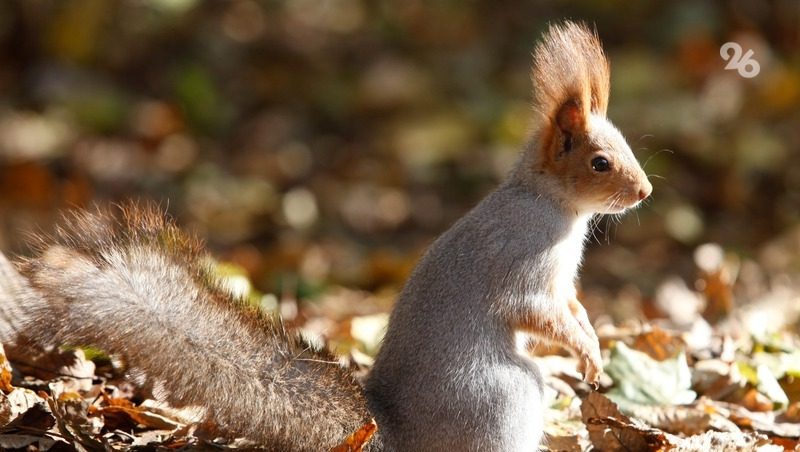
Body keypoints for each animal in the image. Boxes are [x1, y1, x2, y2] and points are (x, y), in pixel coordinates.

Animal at [0, 21, 648, 452]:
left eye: (625, 147)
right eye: (599, 163)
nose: (643, 192)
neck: (551, 206)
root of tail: (393, 436)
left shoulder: (559, 280)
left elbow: (570, 308)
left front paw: (591, 340)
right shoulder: (522, 263)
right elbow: (540, 313)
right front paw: (588, 353)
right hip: (505, 395)